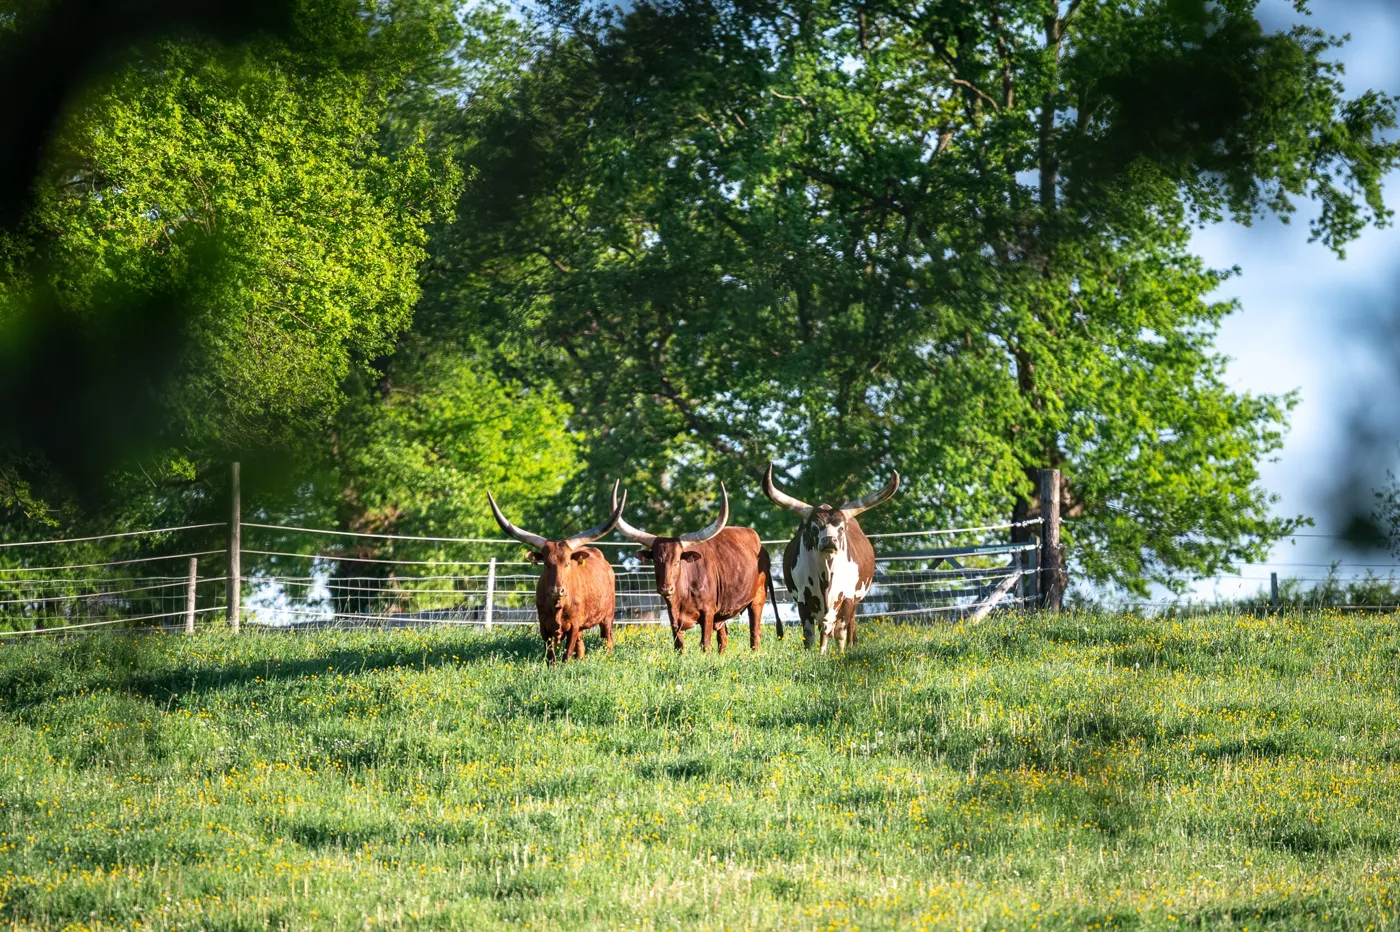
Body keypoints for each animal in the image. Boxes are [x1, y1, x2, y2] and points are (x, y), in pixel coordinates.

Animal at [487, 482, 626, 664]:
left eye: (567, 563)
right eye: (546, 563)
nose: (557, 590)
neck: (557, 606)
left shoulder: (574, 625)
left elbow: (566, 654)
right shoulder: (544, 626)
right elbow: (551, 656)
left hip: (607, 617)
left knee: (607, 639)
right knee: (581, 647)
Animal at [611, 483, 775, 654]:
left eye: (678, 561)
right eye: (655, 560)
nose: (666, 589)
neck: (684, 593)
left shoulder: (708, 612)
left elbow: (705, 644)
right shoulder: (674, 616)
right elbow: (679, 646)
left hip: (758, 599)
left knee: (754, 634)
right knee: (723, 639)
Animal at [762, 463, 899, 652]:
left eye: (841, 528)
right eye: (813, 528)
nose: (829, 540)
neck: (826, 573)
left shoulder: (847, 598)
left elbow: (841, 632)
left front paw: (840, 654)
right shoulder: (803, 600)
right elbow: (809, 634)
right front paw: (814, 655)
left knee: (848, 626)